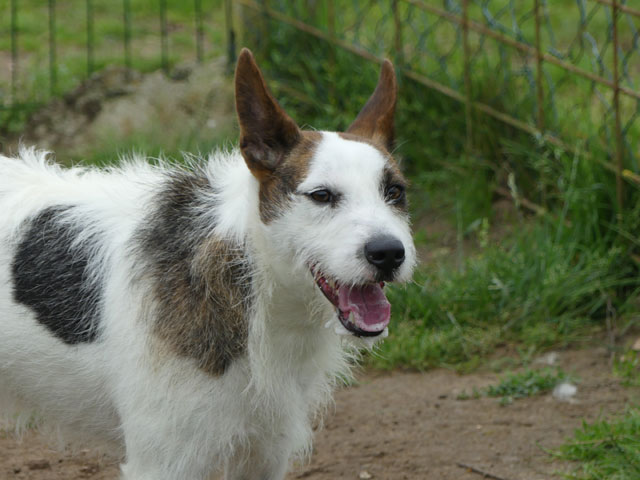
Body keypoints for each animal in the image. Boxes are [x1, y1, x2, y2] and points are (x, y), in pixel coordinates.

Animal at [0, 49, 416, 480]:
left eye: (395, 192)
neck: (246, 275)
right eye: (321, 195)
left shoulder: (262, 456)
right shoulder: (162, 463)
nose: (388, 253)